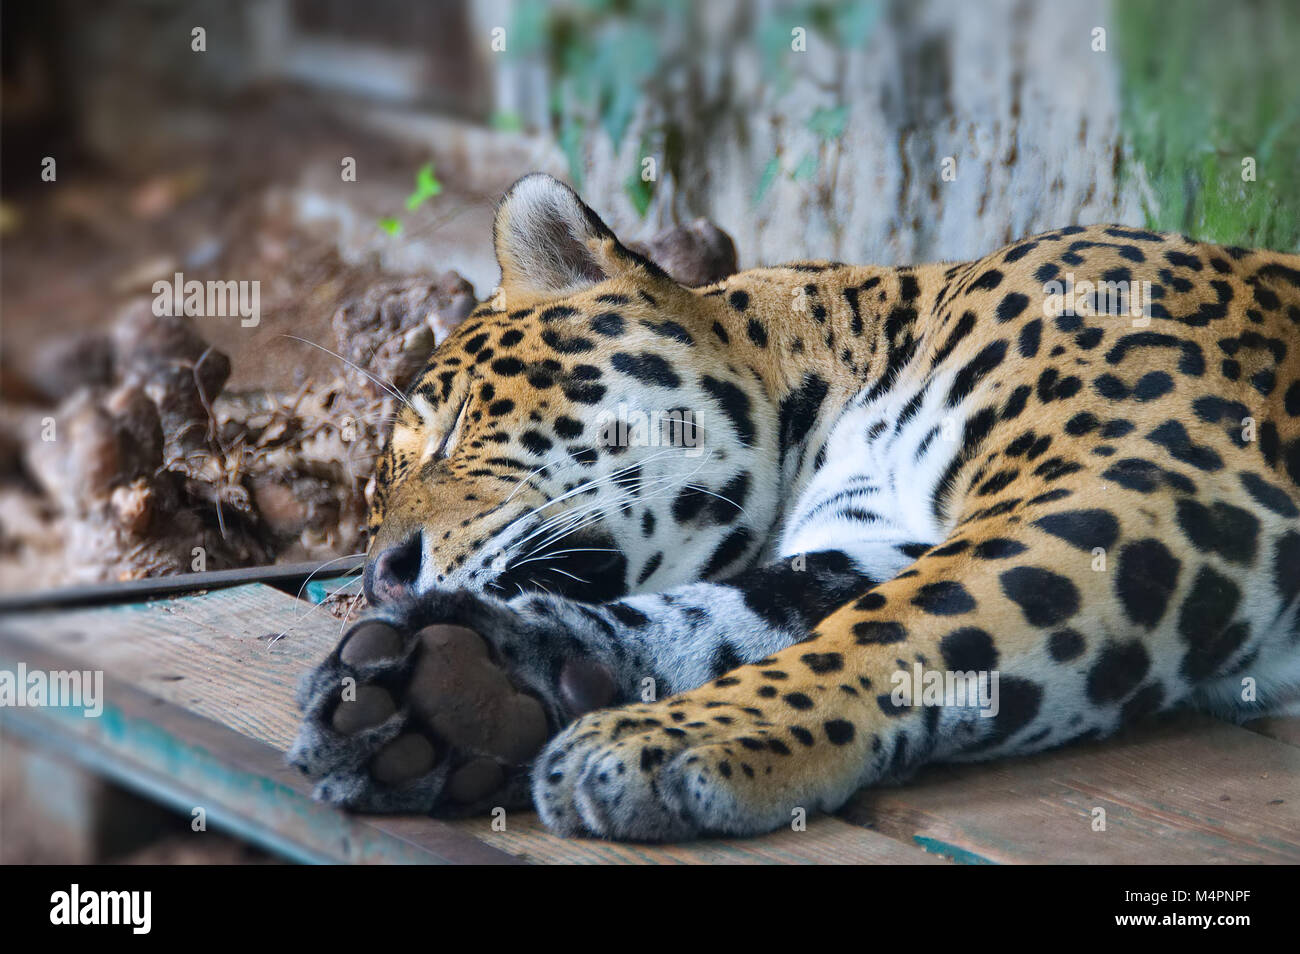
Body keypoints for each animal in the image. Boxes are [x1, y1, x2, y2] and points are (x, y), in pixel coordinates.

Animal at [290, 172, 1300, 841]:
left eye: (459, 424)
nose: (381, 577)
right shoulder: (879, 541)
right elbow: (733, 612)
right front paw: (462, 682)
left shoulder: (1143, 472)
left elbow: (897, 629)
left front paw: (665, 741)